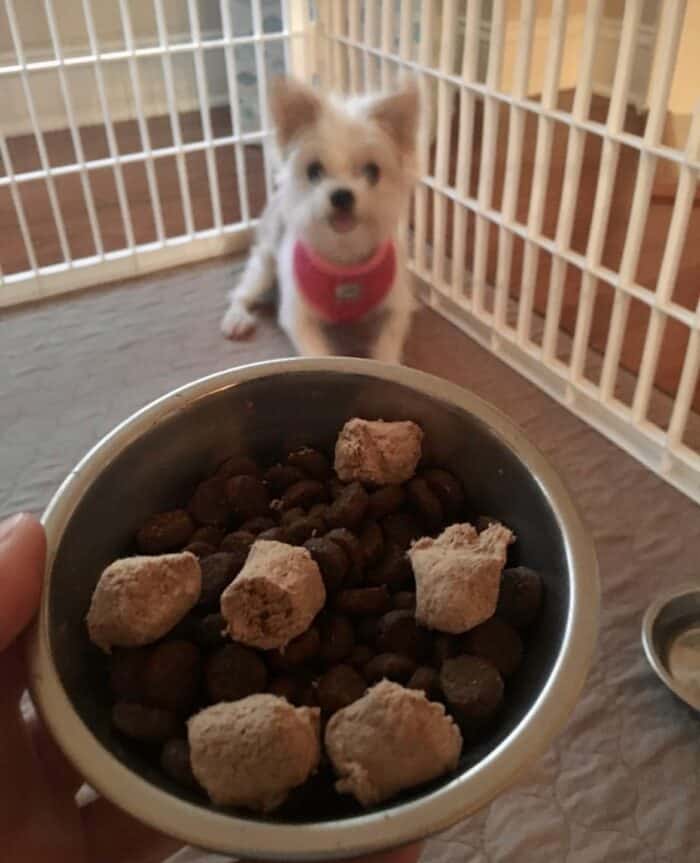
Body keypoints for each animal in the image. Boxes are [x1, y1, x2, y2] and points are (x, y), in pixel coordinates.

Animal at [223, 77, 422, 364]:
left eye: (372, 171)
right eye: (313, 170)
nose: (341, 195)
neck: (344, 255)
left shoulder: (397, 306)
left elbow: (388, 342)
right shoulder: (298, 316)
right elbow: (316, 352)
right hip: (264, 267)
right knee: (241, 292)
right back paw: (236, 318)